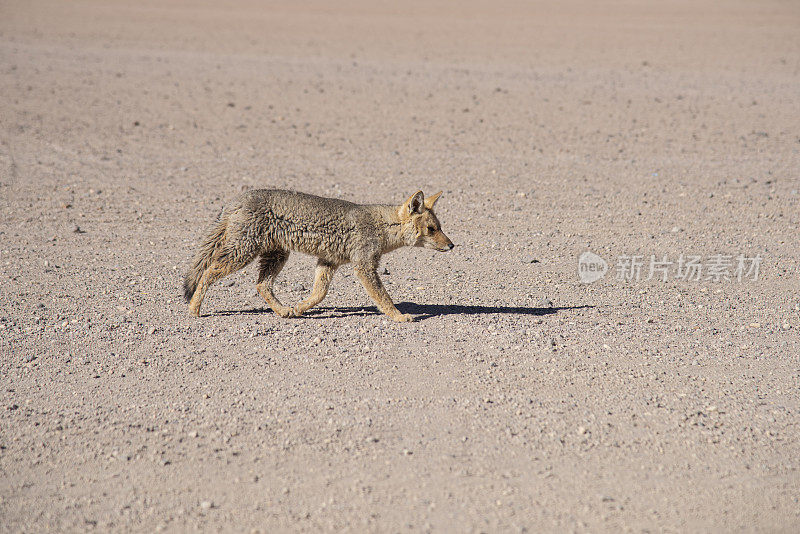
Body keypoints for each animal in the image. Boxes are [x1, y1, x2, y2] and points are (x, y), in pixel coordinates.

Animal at [184, 191, 454, 322]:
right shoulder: (364, 266)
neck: (381, 226)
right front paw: (399, 316)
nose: (452, 245)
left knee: (262, 285)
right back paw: (194, 309)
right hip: (244, 252)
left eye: (440, 227)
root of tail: (236, 199)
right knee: (208, 271)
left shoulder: (329, 261)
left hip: (276, 255)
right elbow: (383, 298)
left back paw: (283, 311)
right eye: (432, 229)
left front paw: (300, 307)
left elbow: (319, 294)